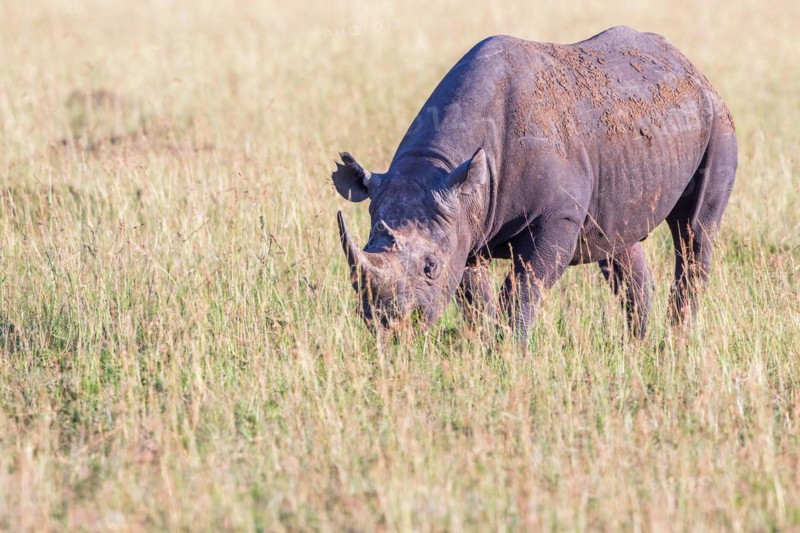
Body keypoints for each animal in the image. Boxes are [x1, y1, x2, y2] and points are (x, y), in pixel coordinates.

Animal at [333, 26, 737, 340]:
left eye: (430, 267)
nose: (388, 327)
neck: (438, 164)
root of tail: (690, 67)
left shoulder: (553, 217)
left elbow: (522, 290)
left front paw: (510, 352)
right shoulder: (462, 221)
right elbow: (474, 299)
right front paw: (483, 346)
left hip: (717, 120)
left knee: (694, 234)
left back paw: (676, 343)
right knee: (618, 243)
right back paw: (637, 347)